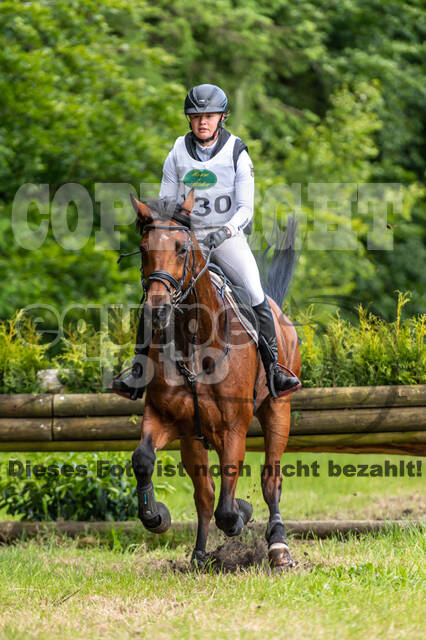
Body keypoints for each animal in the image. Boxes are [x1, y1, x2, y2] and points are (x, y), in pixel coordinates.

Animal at [129, 189, 301, 570]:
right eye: (144, 247)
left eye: (181, 247)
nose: (157, 308)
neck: (195, 339)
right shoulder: (167, 419)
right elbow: (144, 459)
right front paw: (156, 517)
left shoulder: (232, 427)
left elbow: (228, 505)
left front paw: (241, 515)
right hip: (194, 438)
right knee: (204, 495)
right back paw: (199, 554)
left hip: (278, 409)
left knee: (271, 478)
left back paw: (278, 546)